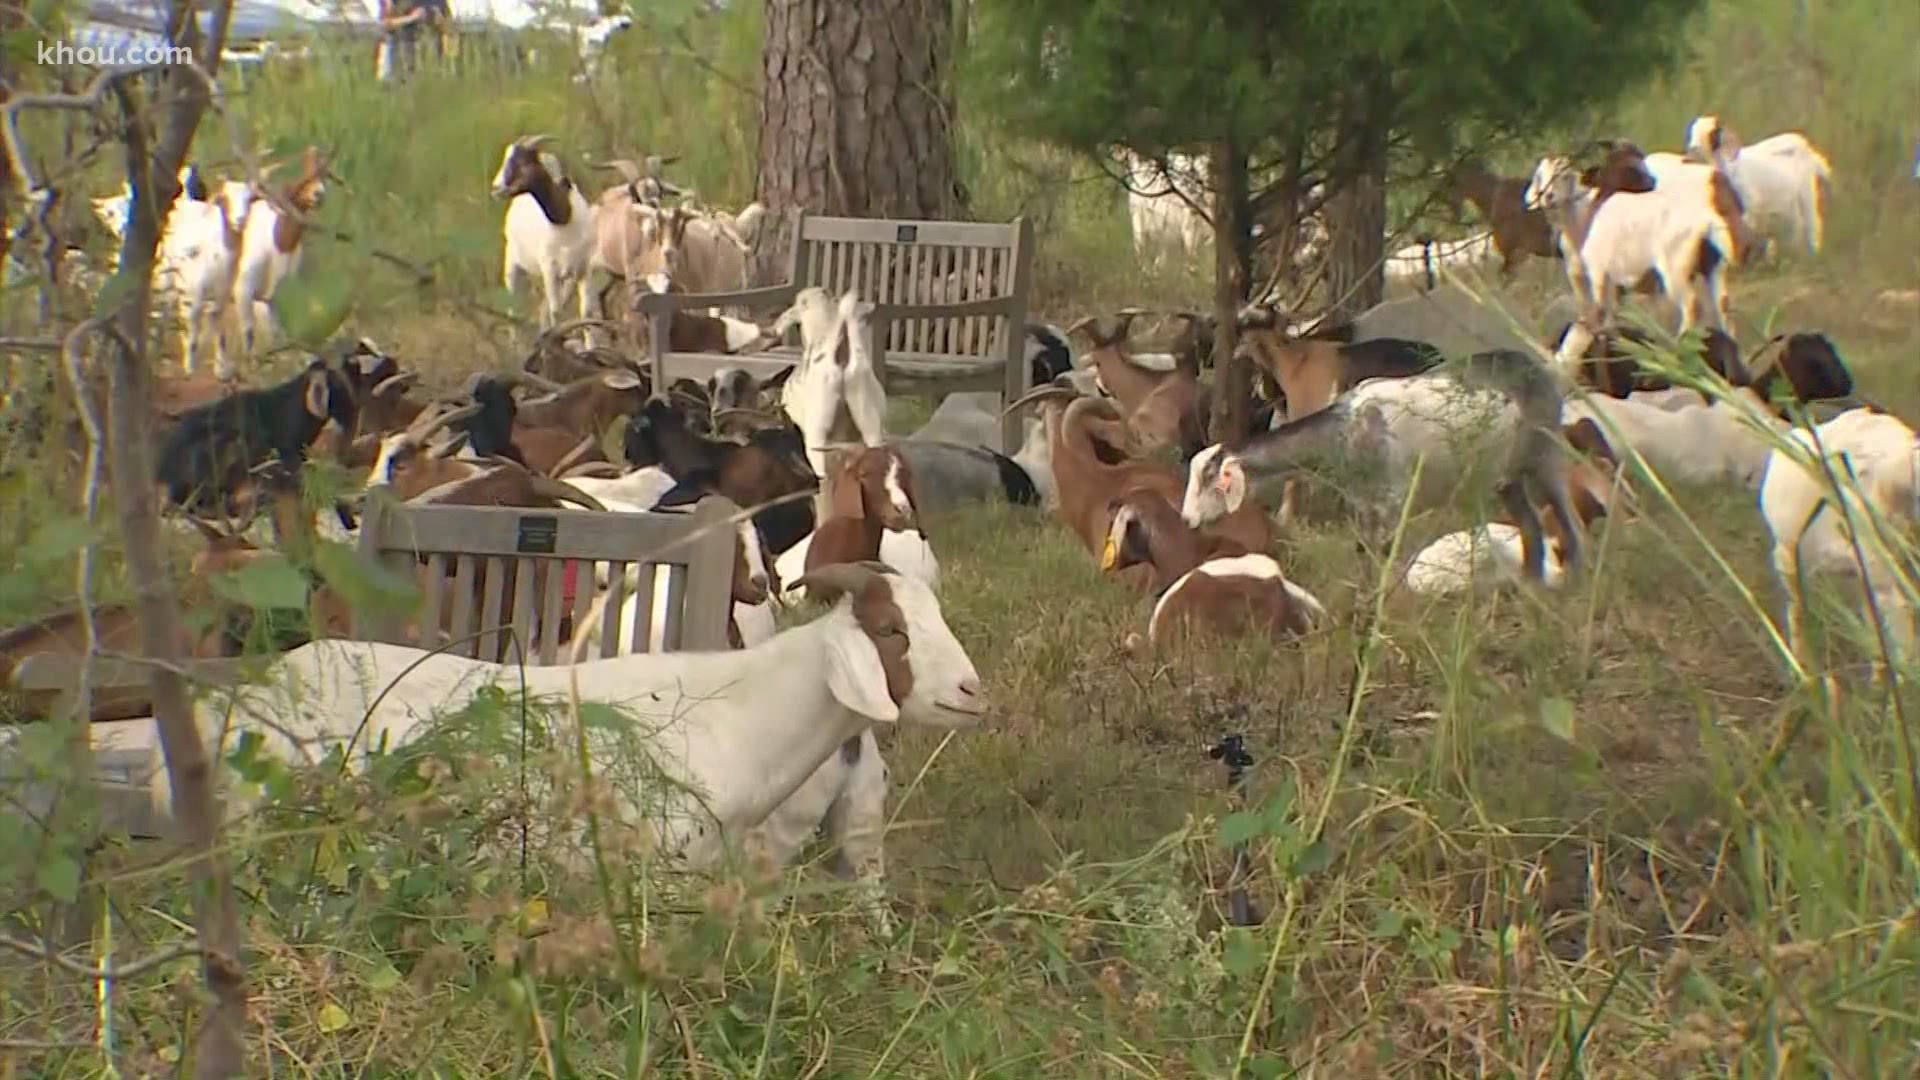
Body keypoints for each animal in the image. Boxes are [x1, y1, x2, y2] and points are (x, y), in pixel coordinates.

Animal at [1689, 114, 1835, 255]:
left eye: (1713, 133)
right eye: (1692, 132)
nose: (1693, 149)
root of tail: (1804, 143)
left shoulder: (1749, 212)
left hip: (1807, 200)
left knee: (1812, 231)